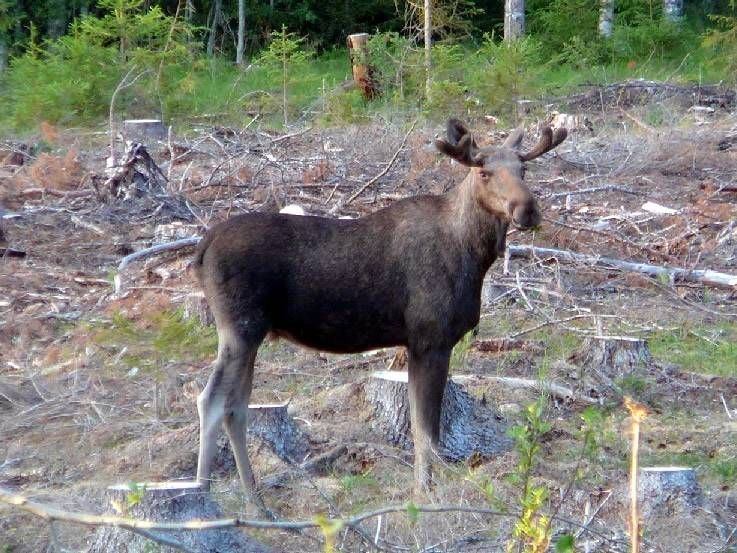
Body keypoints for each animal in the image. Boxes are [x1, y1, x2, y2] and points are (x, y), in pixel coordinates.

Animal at [191, 118, 567, 516]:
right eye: (484, 172)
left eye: (523, 170)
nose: (527, 209)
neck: (473, 255)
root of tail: (202, 248)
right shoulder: (429, 339)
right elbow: (425, 431)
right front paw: (425, 495)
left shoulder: (421, 344)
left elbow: (424, 428)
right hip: (239, 329)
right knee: (211, 400)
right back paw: (203, 495)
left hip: (251, 334)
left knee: (237, 408)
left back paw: (256, 503)